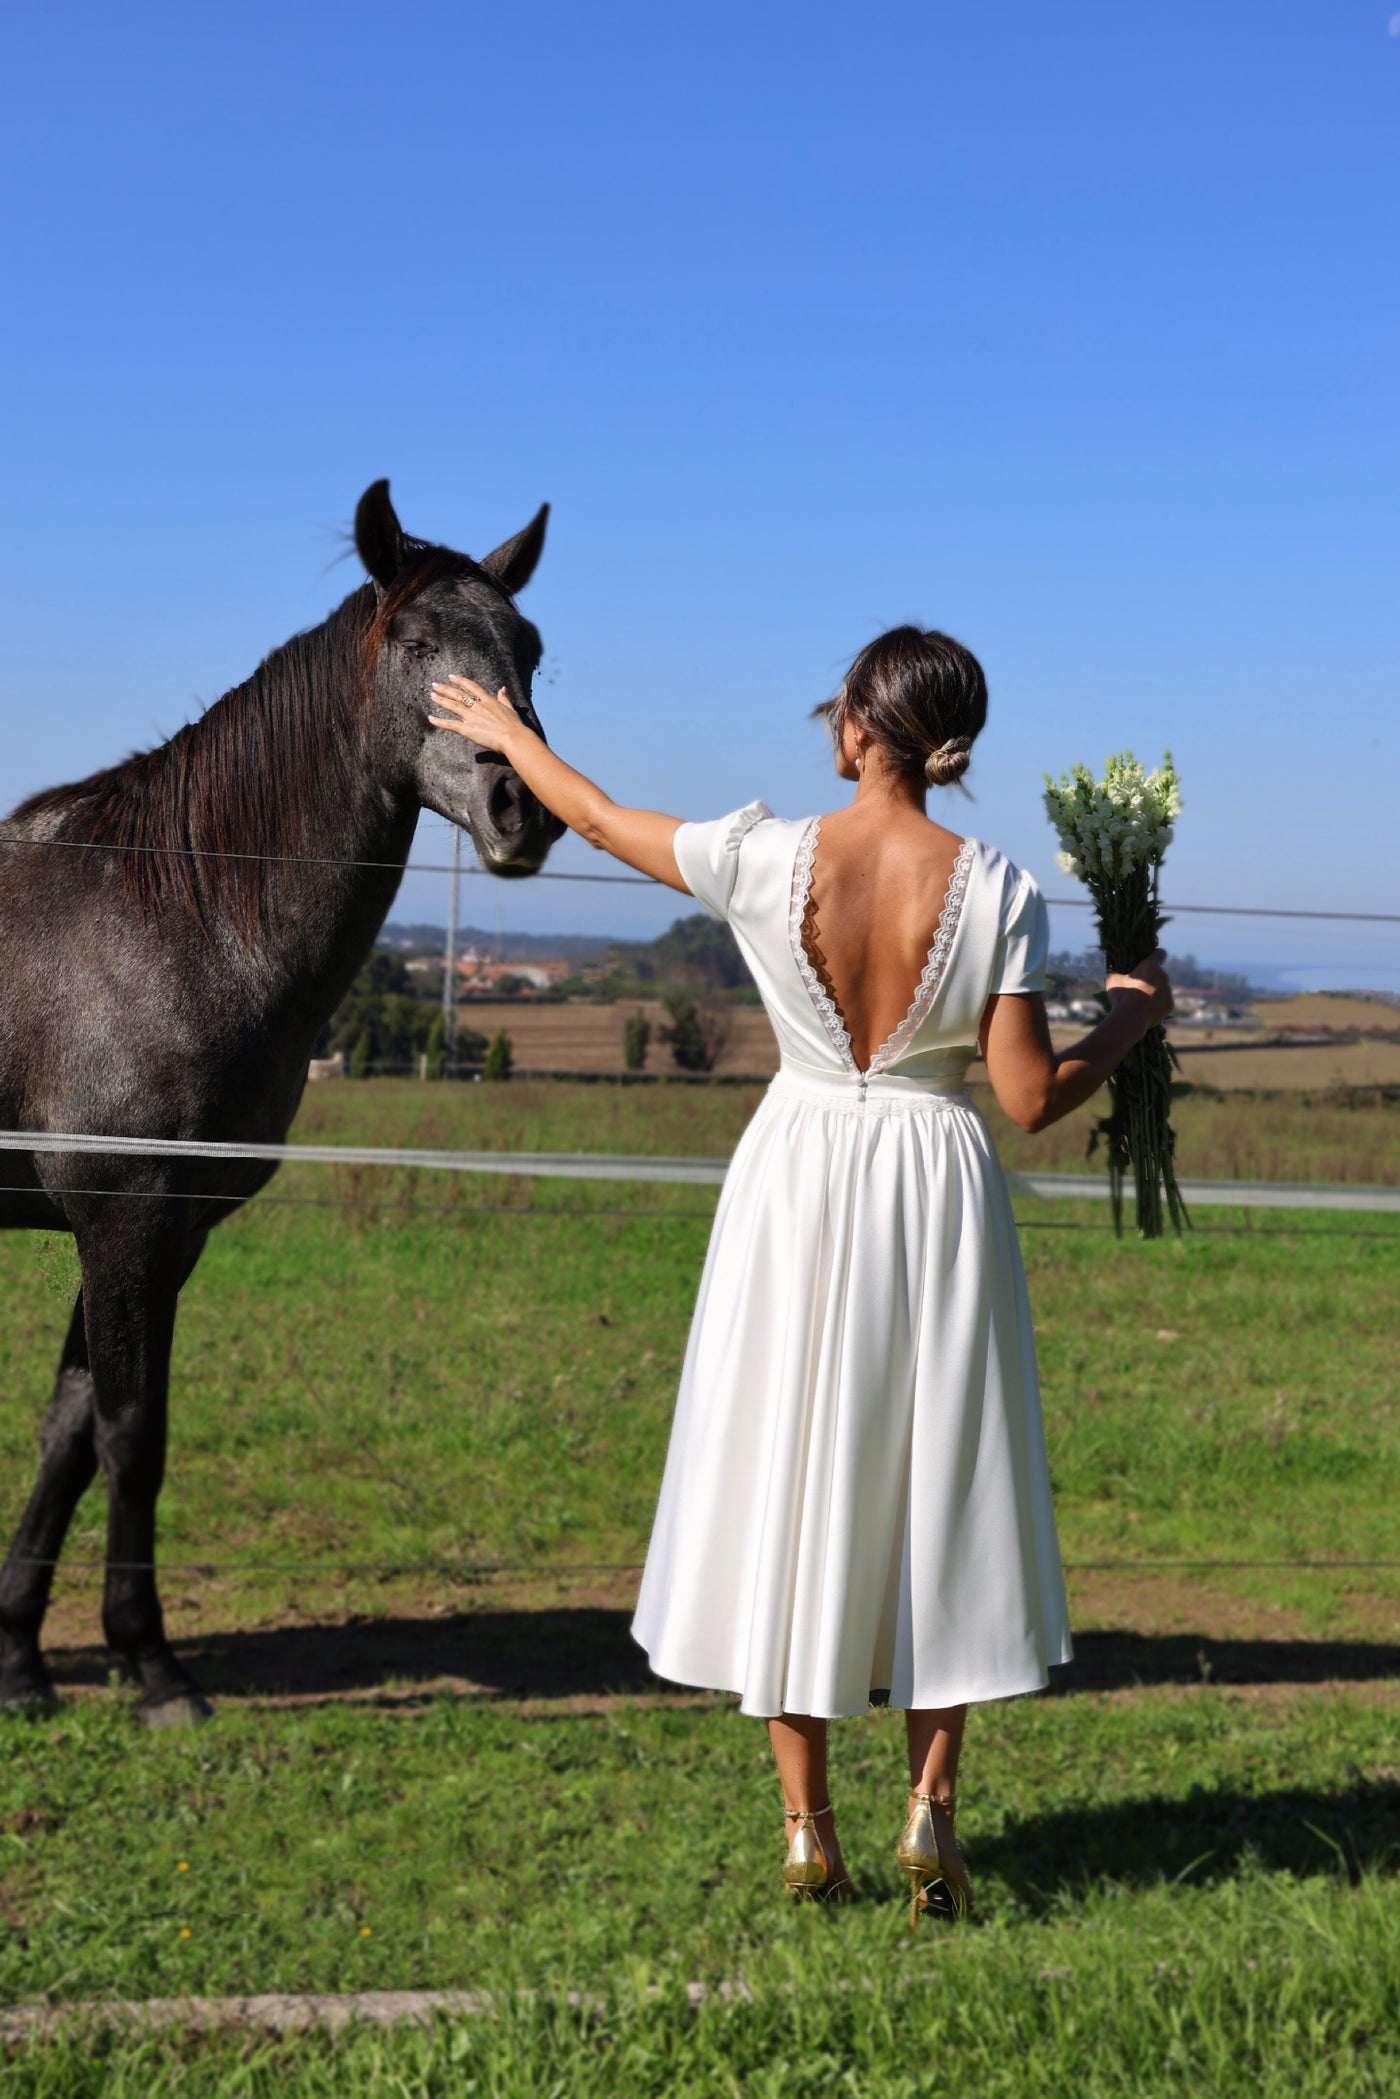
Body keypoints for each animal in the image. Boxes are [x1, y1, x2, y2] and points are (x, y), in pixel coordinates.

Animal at [0, 486, 562, 1721]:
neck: (178, 914)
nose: (521, 805)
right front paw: (153, 1666)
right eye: (415, 646)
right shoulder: (124, 1224)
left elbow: (67, 1430)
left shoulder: (161, 1237)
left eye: (531, 647)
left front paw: (17, 1660)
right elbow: (130, 1431)